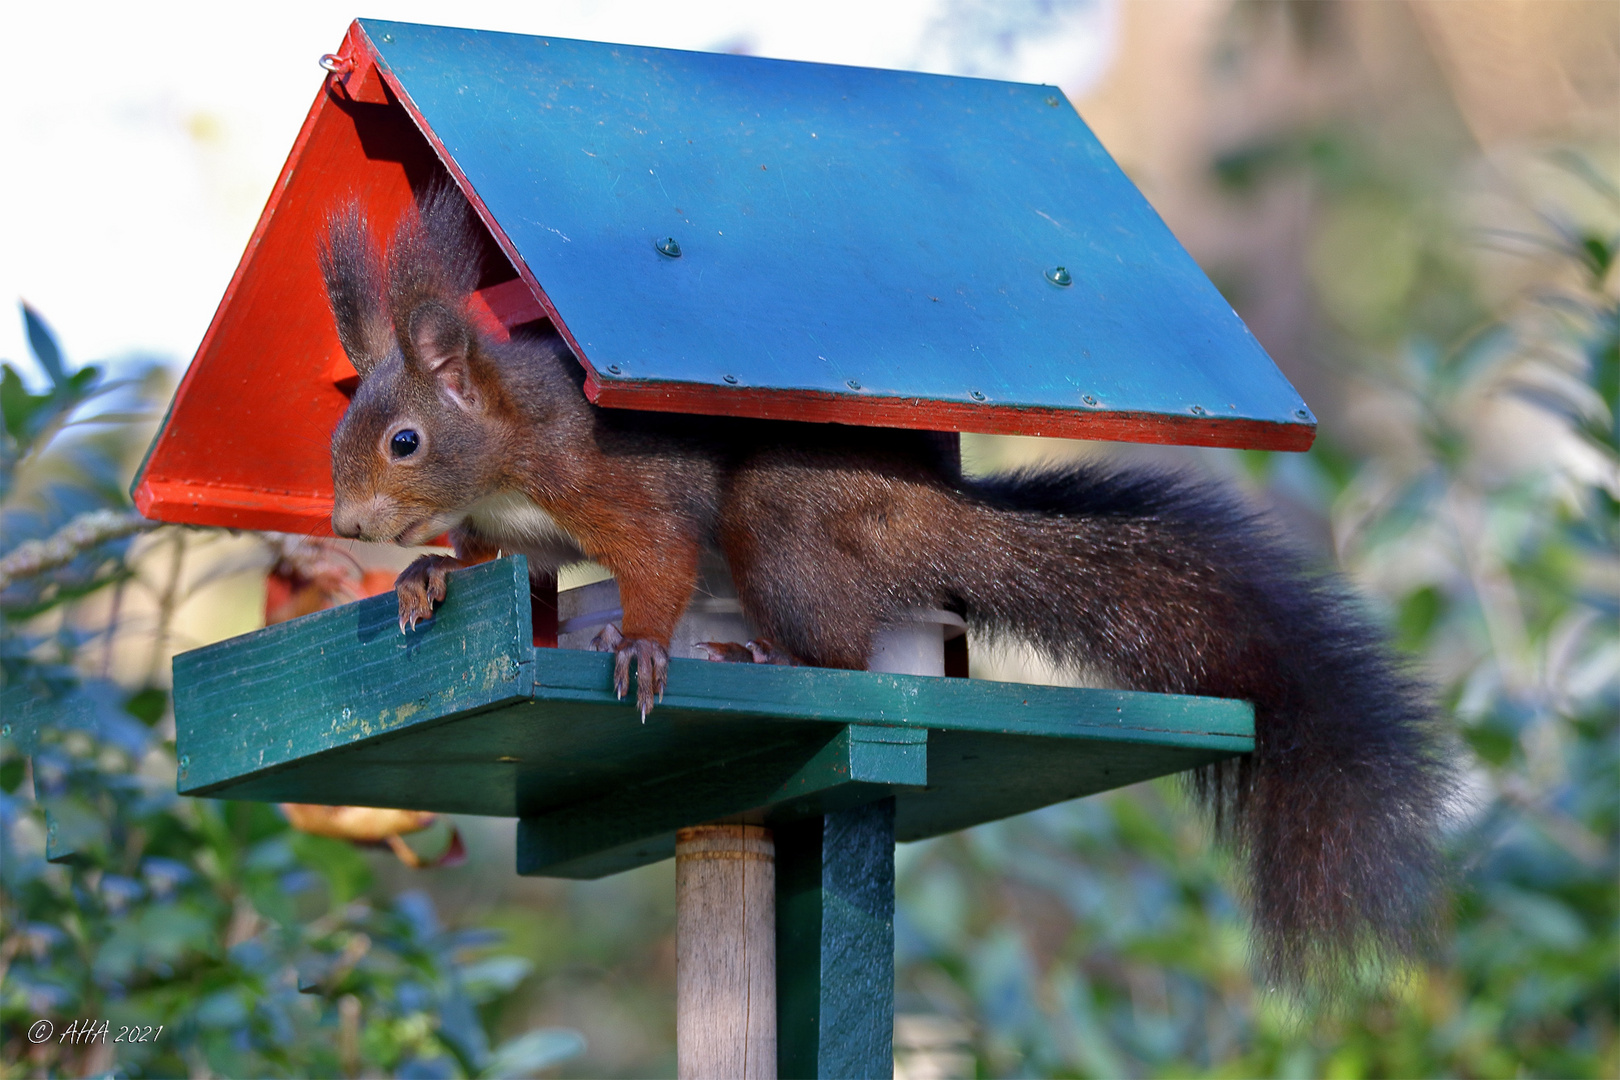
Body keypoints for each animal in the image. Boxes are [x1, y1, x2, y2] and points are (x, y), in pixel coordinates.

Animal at [325, 187, 1458, 997]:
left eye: (405, 441)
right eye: (343, 434)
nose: (346, 525)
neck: (506, 456)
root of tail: (927, 514)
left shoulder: (612, 485)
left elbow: (655, 561)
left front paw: (641, 646)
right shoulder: (522, 535)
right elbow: (510, 575)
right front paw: (426, 579)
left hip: (783, 528)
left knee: (834, 652)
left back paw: (757, 652)